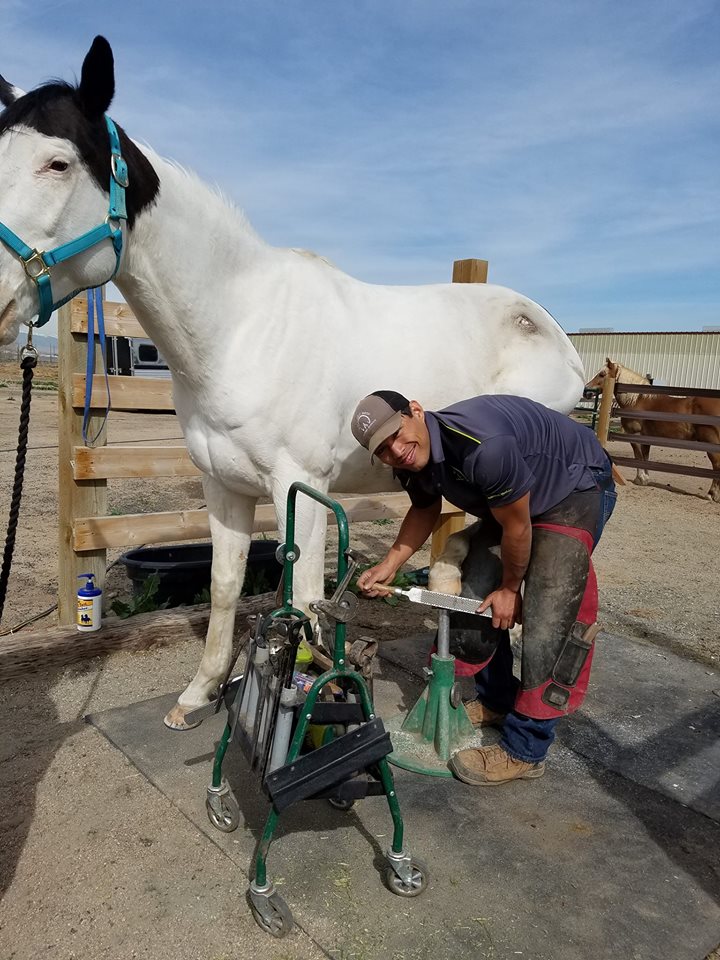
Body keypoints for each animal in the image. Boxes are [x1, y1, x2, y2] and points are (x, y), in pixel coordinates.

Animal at [0, 35, 584, 728]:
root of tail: (555, 336)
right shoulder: (222, 487)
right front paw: (199, 694)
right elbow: (225, 586)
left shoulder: (303, 490)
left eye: (58, 163)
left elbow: (304, 601)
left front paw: (318, 700)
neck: (243, 329)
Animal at [584, 358, 720, 506]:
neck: (636, 400)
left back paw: (711, 494)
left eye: (602, 374)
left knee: (717, 465)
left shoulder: (634, 435)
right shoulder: (646, 437)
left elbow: (638, 456)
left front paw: (640, 479)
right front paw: (645, 479)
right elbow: (645, 457)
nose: (586, 391)